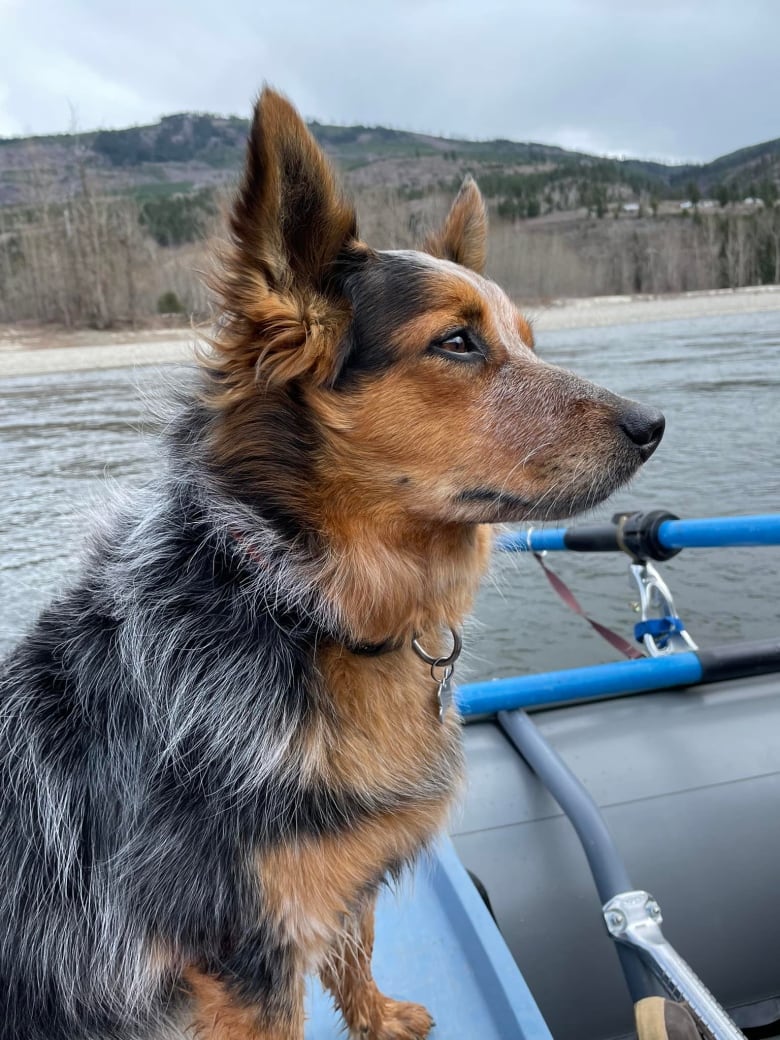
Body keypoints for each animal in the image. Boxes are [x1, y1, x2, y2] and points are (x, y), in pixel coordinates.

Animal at [1, 91, 665, 1040]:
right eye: (458, 342)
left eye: (527, 338)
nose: (653, 426)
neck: (300, 602)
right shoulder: (242, 952)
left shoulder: (334, 883)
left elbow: (358, 940)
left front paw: (378, 1019)